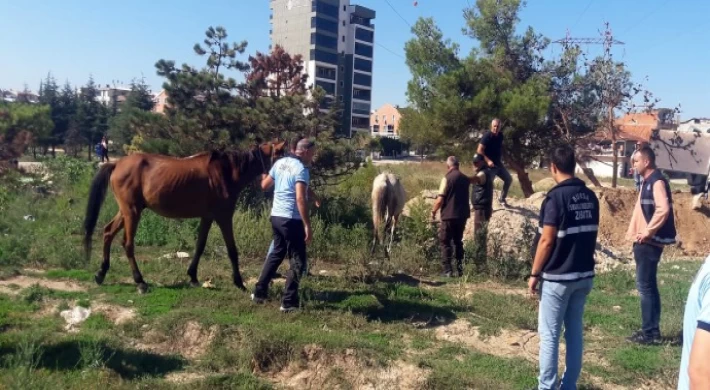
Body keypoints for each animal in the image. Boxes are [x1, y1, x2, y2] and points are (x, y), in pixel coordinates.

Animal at [81, 141, 286, 292]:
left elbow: (200, 246)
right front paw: (239, 282)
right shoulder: (223, 216)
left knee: (108, 232)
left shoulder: (207, 217)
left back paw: (101, 273)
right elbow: (232, 250)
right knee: (128, 244)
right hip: (132, 212)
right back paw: (140, 282)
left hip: (126, 211)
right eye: (282, 154)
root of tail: (117, 163)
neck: (225, 170)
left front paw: (193, 276)